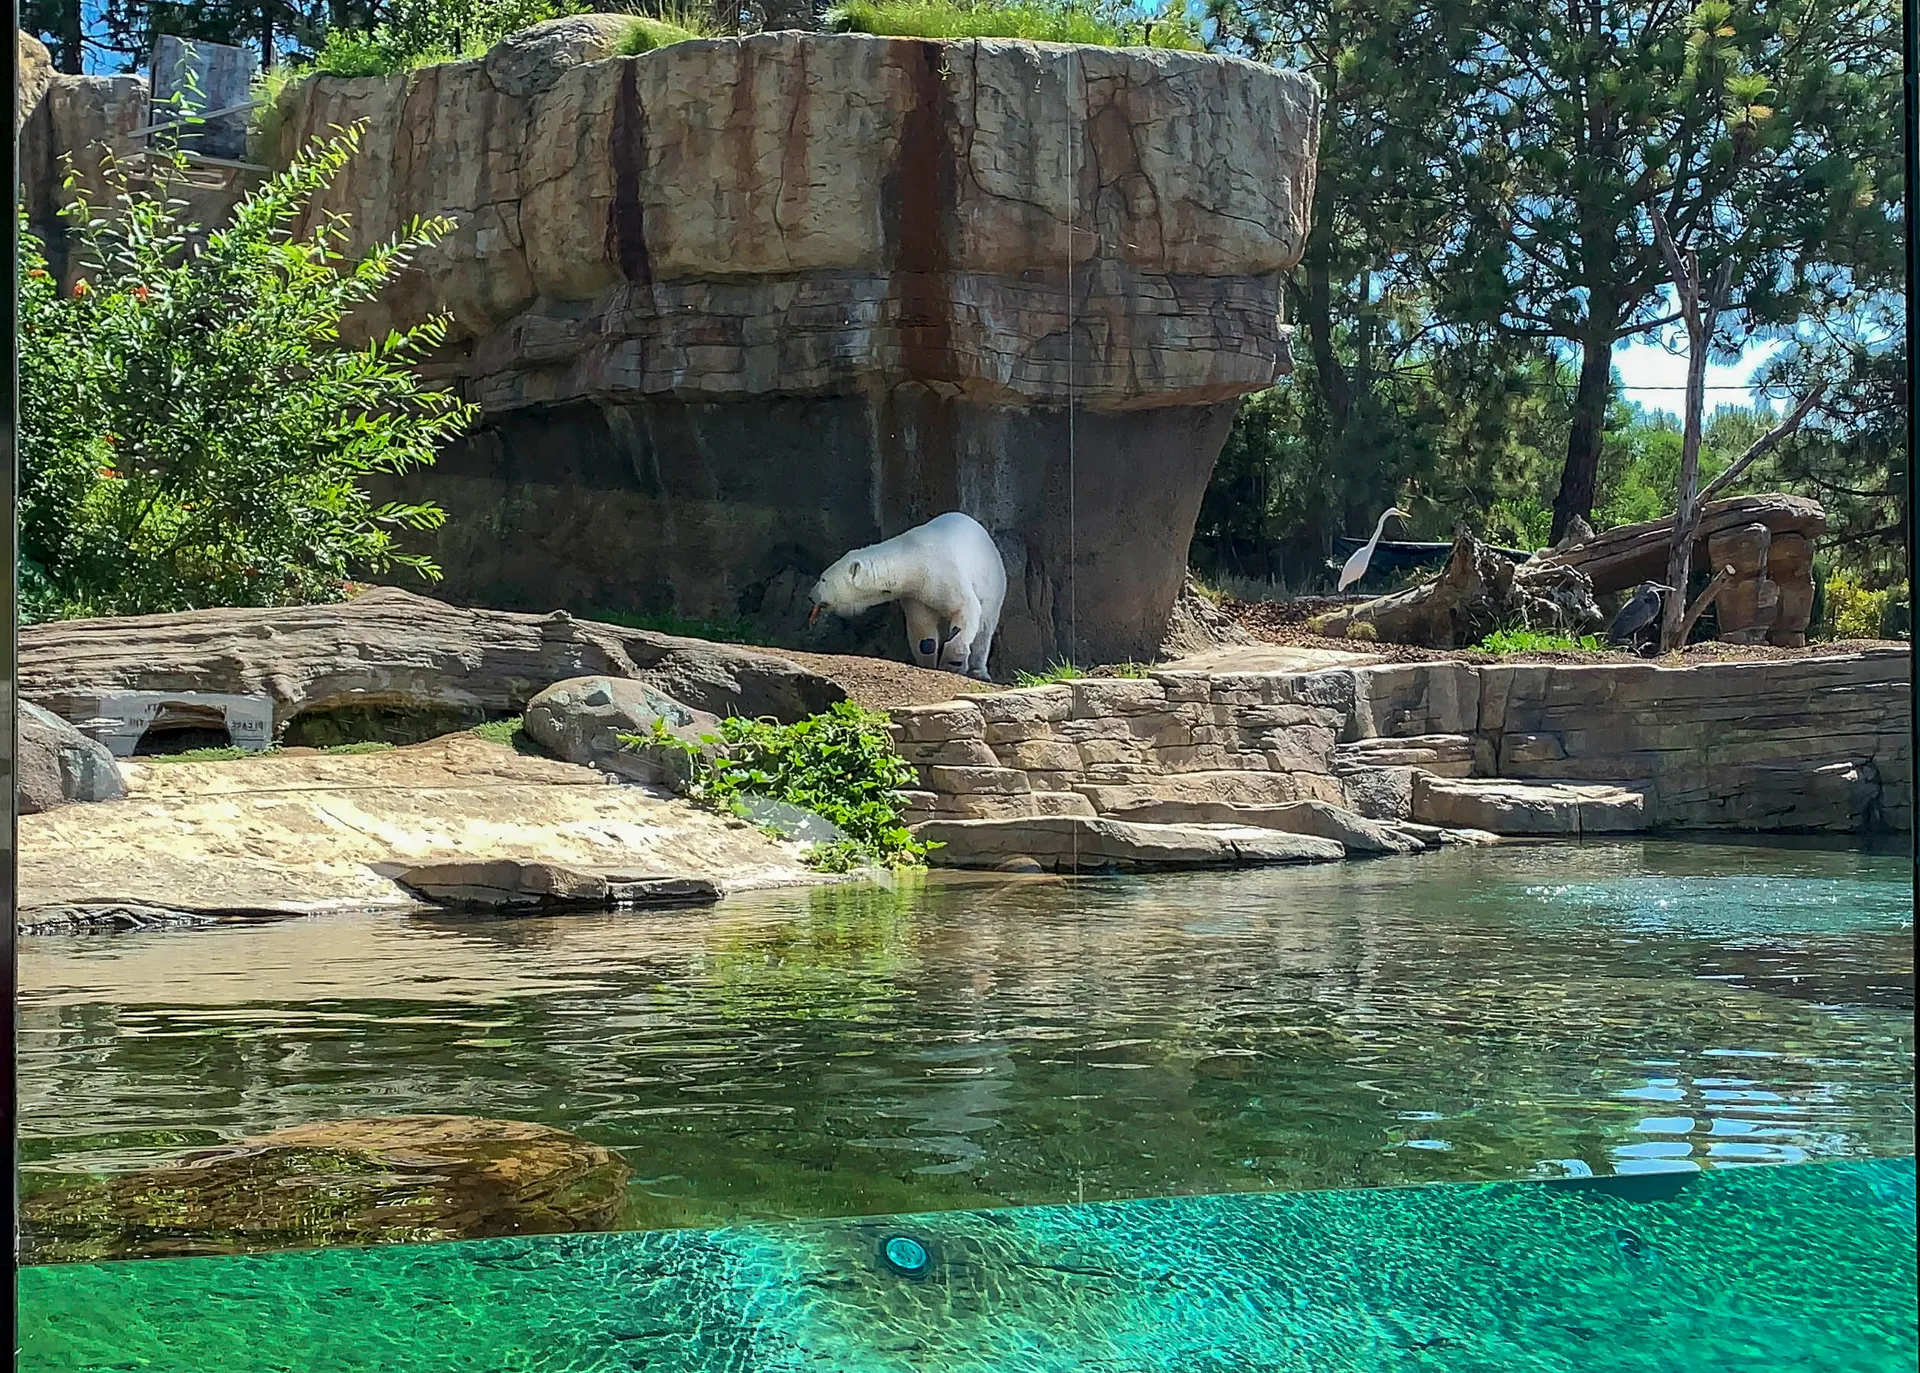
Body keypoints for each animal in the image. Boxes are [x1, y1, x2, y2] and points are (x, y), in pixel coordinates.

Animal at [808, 512, 1009, 680]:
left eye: (823, 579)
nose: (810, 596)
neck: (913, 558)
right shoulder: (915, 594)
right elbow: (922, 630)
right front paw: (928, 662)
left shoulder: (943, 574)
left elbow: (965, 608)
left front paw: (952, 663)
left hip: (992, 581)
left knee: (985, 628)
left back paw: (979, 672)